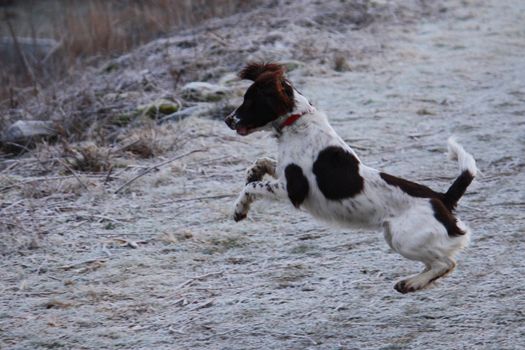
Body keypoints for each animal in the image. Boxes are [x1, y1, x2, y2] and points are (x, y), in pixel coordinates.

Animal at [223, 62, 476, 292]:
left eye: (250, 101)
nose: (227, 120)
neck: (297, 122)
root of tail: (442, 198)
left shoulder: (294, 189)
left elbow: (253, 187)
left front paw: (239, 209)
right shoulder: (283, 171)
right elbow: (263, 162)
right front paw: (252, 171)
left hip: (406, 239)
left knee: (446, 263)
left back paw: (411, 283)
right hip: (396, 237)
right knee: (437, 263)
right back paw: (412, 282)